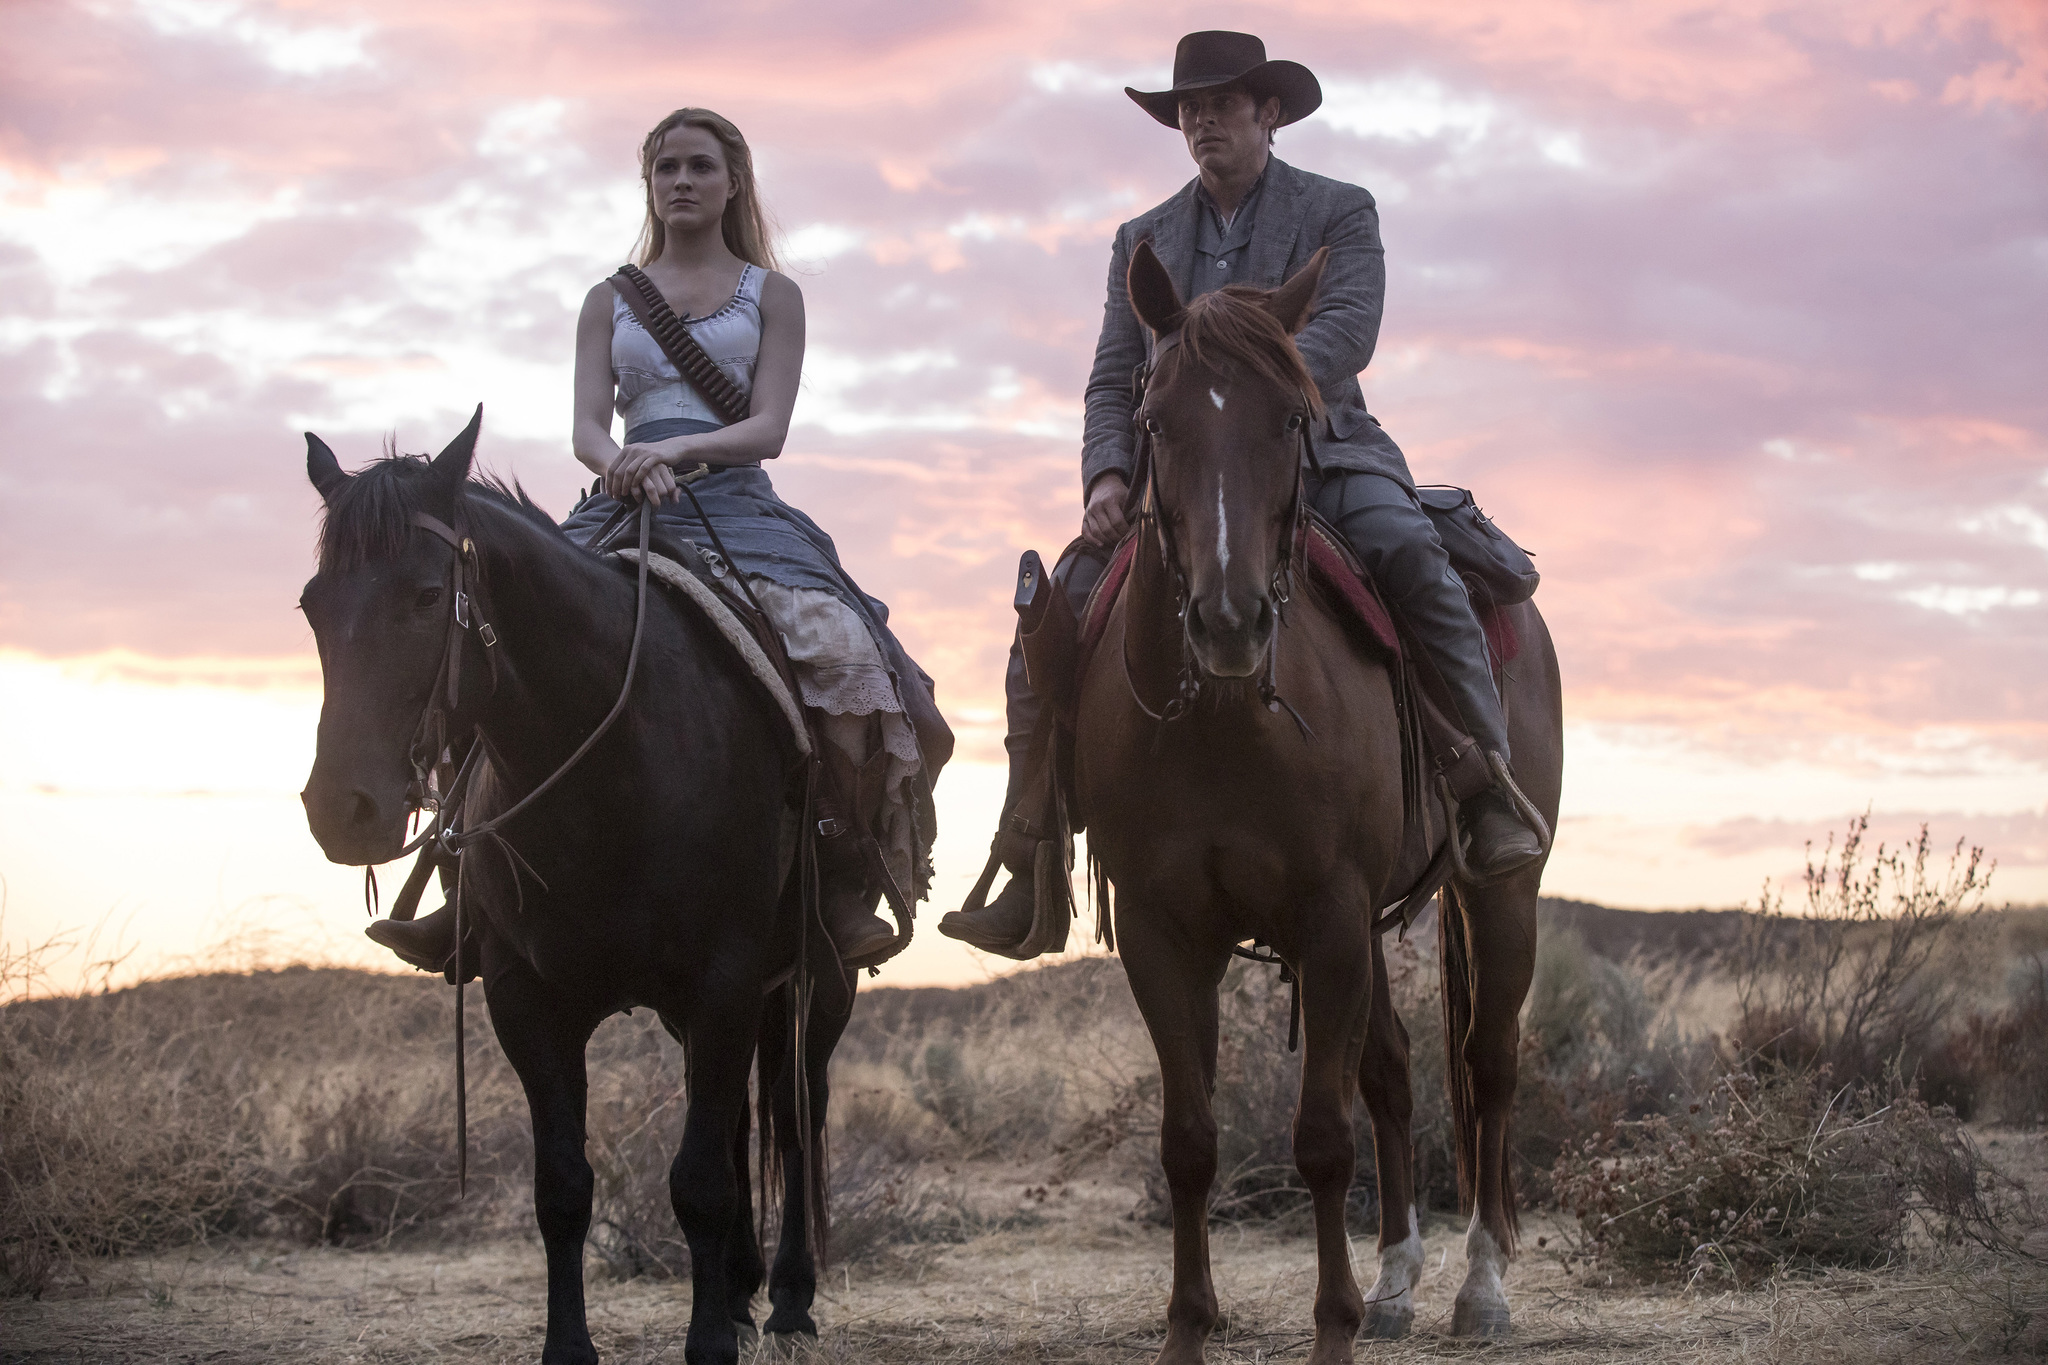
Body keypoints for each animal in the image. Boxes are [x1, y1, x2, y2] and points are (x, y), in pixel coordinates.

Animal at [1073, 240, 1564, 1358]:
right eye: (1154, 418)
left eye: (1293, 418)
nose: (1229, 620)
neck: (1222, 723)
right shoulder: (1167, 931)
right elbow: (1190, 1139)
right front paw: (1188, 1325)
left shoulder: (1328, 914)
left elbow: (1321, 1139)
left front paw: (1331, 1326)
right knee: (1393, 1070)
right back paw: (1394, 1282)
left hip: (1494, 893)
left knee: (1487, 1065)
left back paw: (1478, 1289)